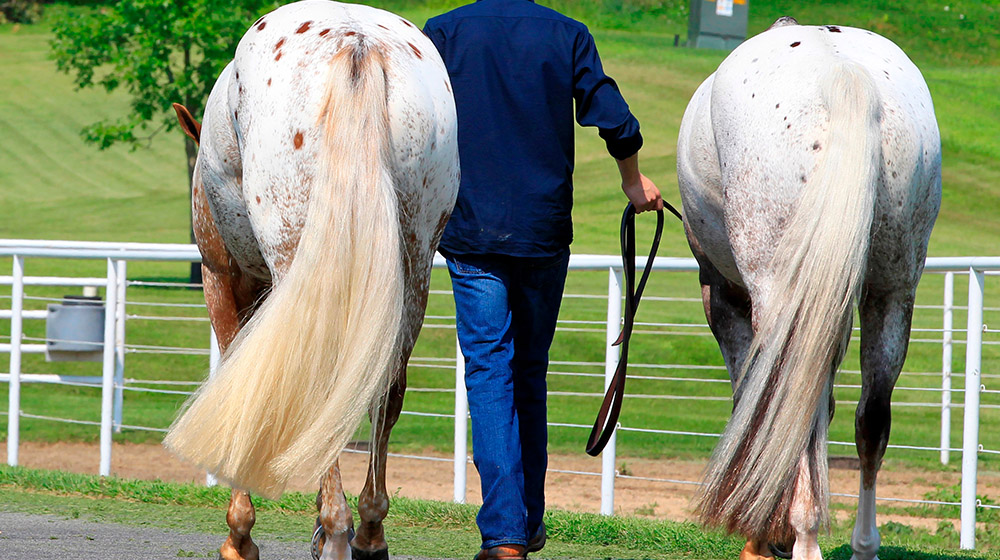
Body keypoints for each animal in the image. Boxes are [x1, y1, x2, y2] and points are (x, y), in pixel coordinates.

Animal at [165, 1, 460, 560]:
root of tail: (357, 43)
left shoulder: (221, 276)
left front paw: (240, 532)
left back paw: (336, 527)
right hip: (413, 267)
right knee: (384, 389)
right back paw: (367, 530)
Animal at [676, 17, 940, 560]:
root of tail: (844, 75)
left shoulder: (723, 293)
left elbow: (753, 404)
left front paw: (762, 530)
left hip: (779, 293)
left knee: (793, 405)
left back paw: (802, 535)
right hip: (892, 291)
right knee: (871, 418)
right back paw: (862, 543)